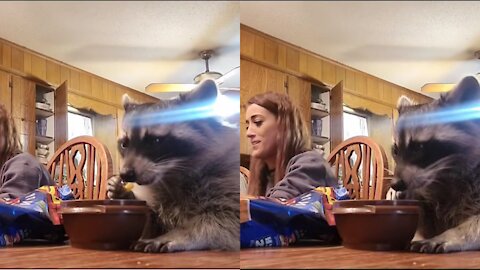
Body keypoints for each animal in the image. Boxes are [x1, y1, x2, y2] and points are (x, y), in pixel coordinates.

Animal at [107, 79, 238, 252]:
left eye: (155, 141)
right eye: (124, 144)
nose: (125, 174)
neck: (170, 175)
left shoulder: (226, 181)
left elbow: (224, 220)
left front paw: (179, 234)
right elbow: (148, 222)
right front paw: (124, 194)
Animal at [392, 75, 480, 252]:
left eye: (418, 148)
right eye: (396, 150)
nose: (395, 184)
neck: (443, 176)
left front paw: (452, 235)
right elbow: (427, 225)